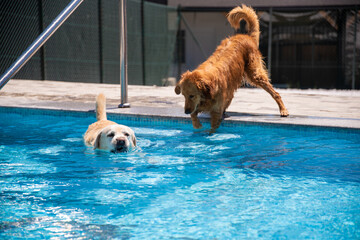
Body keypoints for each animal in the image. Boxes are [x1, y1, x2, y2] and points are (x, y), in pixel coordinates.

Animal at [175, 5, 290, 133]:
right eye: (183, 96)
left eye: (192, 95)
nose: (185, 112)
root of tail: (247, 36)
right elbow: (194, 115)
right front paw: (197, 124)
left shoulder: (216, 108)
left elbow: (212, 126)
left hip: (255, 75)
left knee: (276, 93)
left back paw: (283, 110)